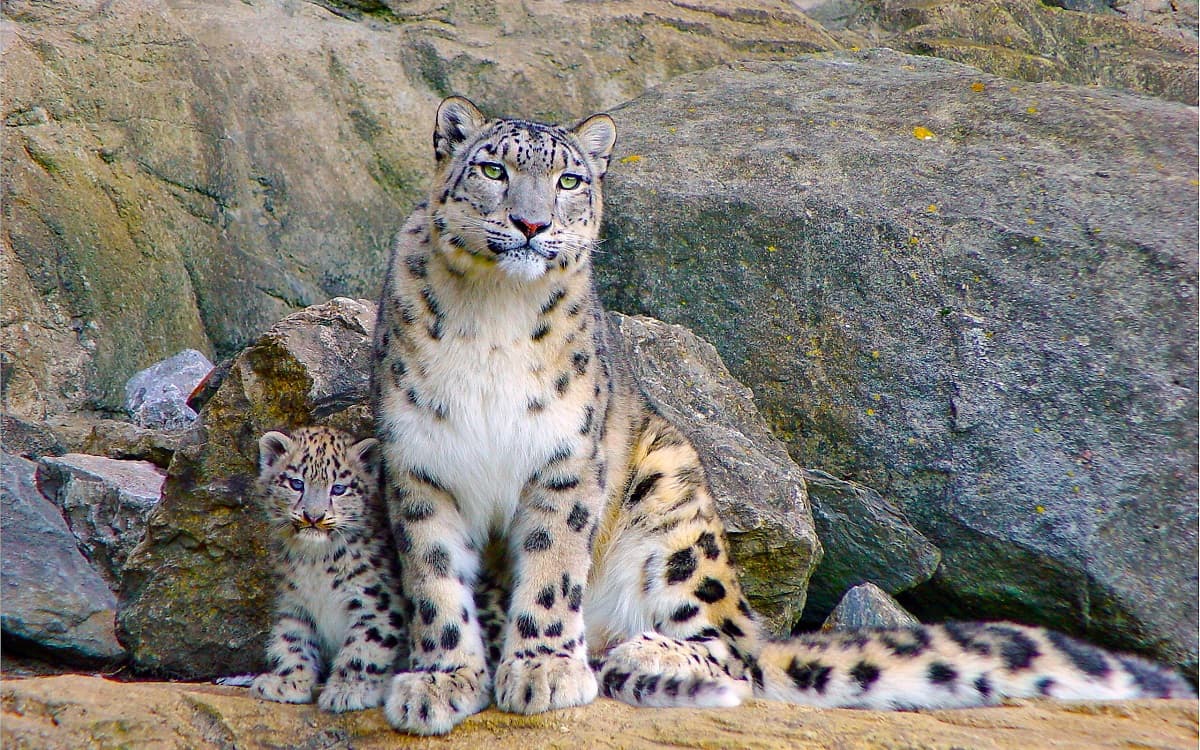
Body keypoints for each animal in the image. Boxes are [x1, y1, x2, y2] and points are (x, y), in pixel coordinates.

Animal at [250, 426, 408, 713]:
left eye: (339, 488)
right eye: (296, 483)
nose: (313, 516)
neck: (315, 562)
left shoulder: (377, 602)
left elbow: (365, 645)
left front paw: (348, 690)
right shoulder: (294, 602)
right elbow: (292, 640)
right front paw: (287, 681)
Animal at [370, 96, 1193, 735]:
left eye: (569, 179)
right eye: (494, 170)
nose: (532, 225)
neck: (493, 319)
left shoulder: (565, 462)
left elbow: (550, 570)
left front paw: (541, 669)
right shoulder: (418, 462)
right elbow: (435, 580)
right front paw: (439, 681)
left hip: (674, 502)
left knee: (734, 648)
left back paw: (642, 651)